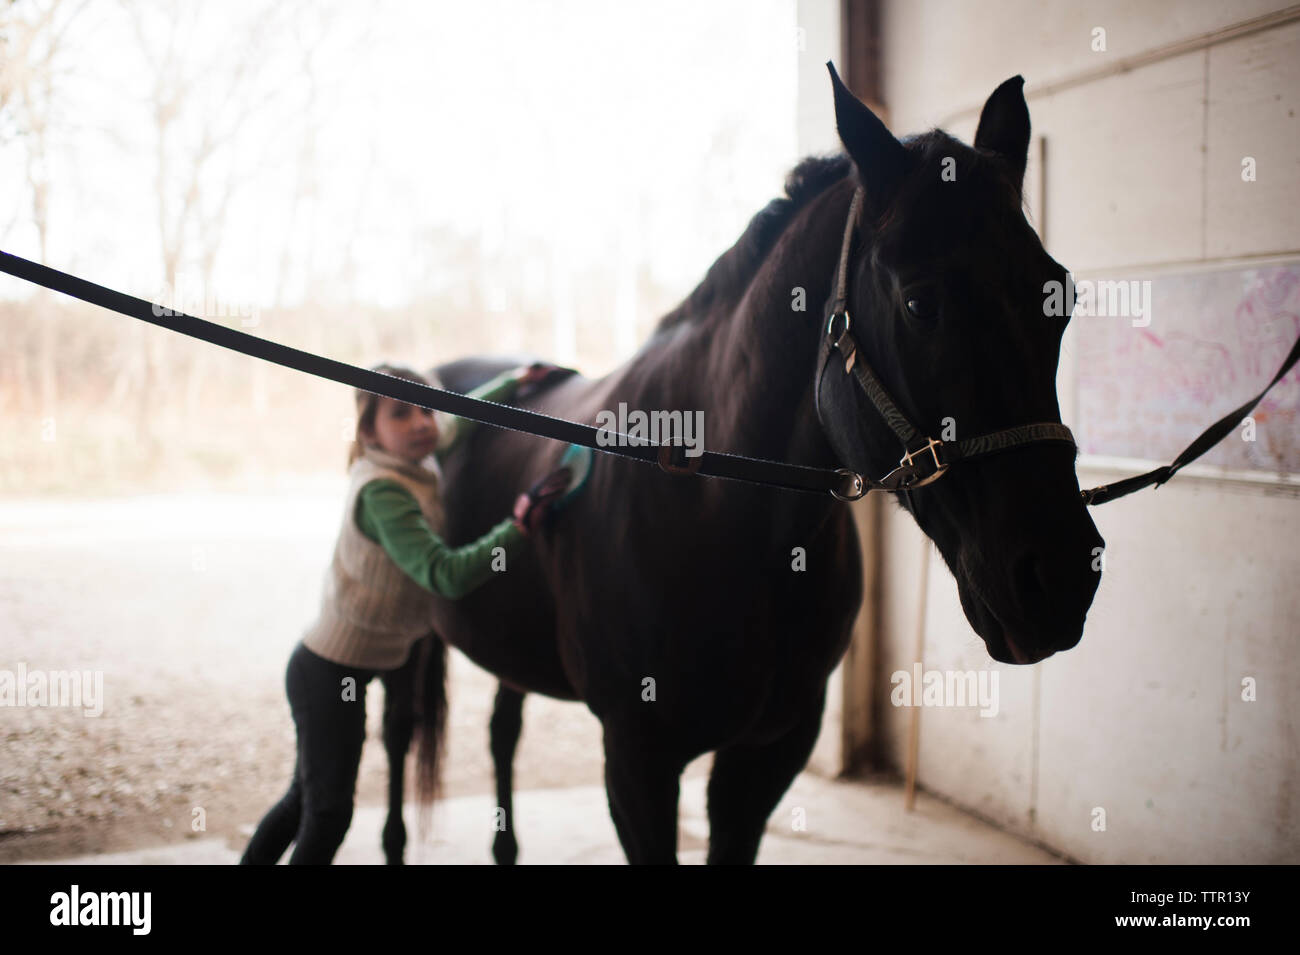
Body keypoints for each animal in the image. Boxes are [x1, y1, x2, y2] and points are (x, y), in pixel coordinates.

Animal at [414, 66, 1104, 864]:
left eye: (1061, 296)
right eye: (919, 302)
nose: (1060, 576)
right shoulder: (638, 761)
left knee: (502, 728)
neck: (718, 515)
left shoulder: (767, 754)